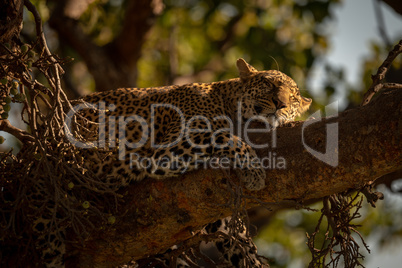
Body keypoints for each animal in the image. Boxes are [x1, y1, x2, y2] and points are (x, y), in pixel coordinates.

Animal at [34, 59, 310, 268]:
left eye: (295, 98)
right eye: (269, 84)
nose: (282, 105)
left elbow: (238, 239)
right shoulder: (170, 147)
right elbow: (225, 136)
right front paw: (254, 171)